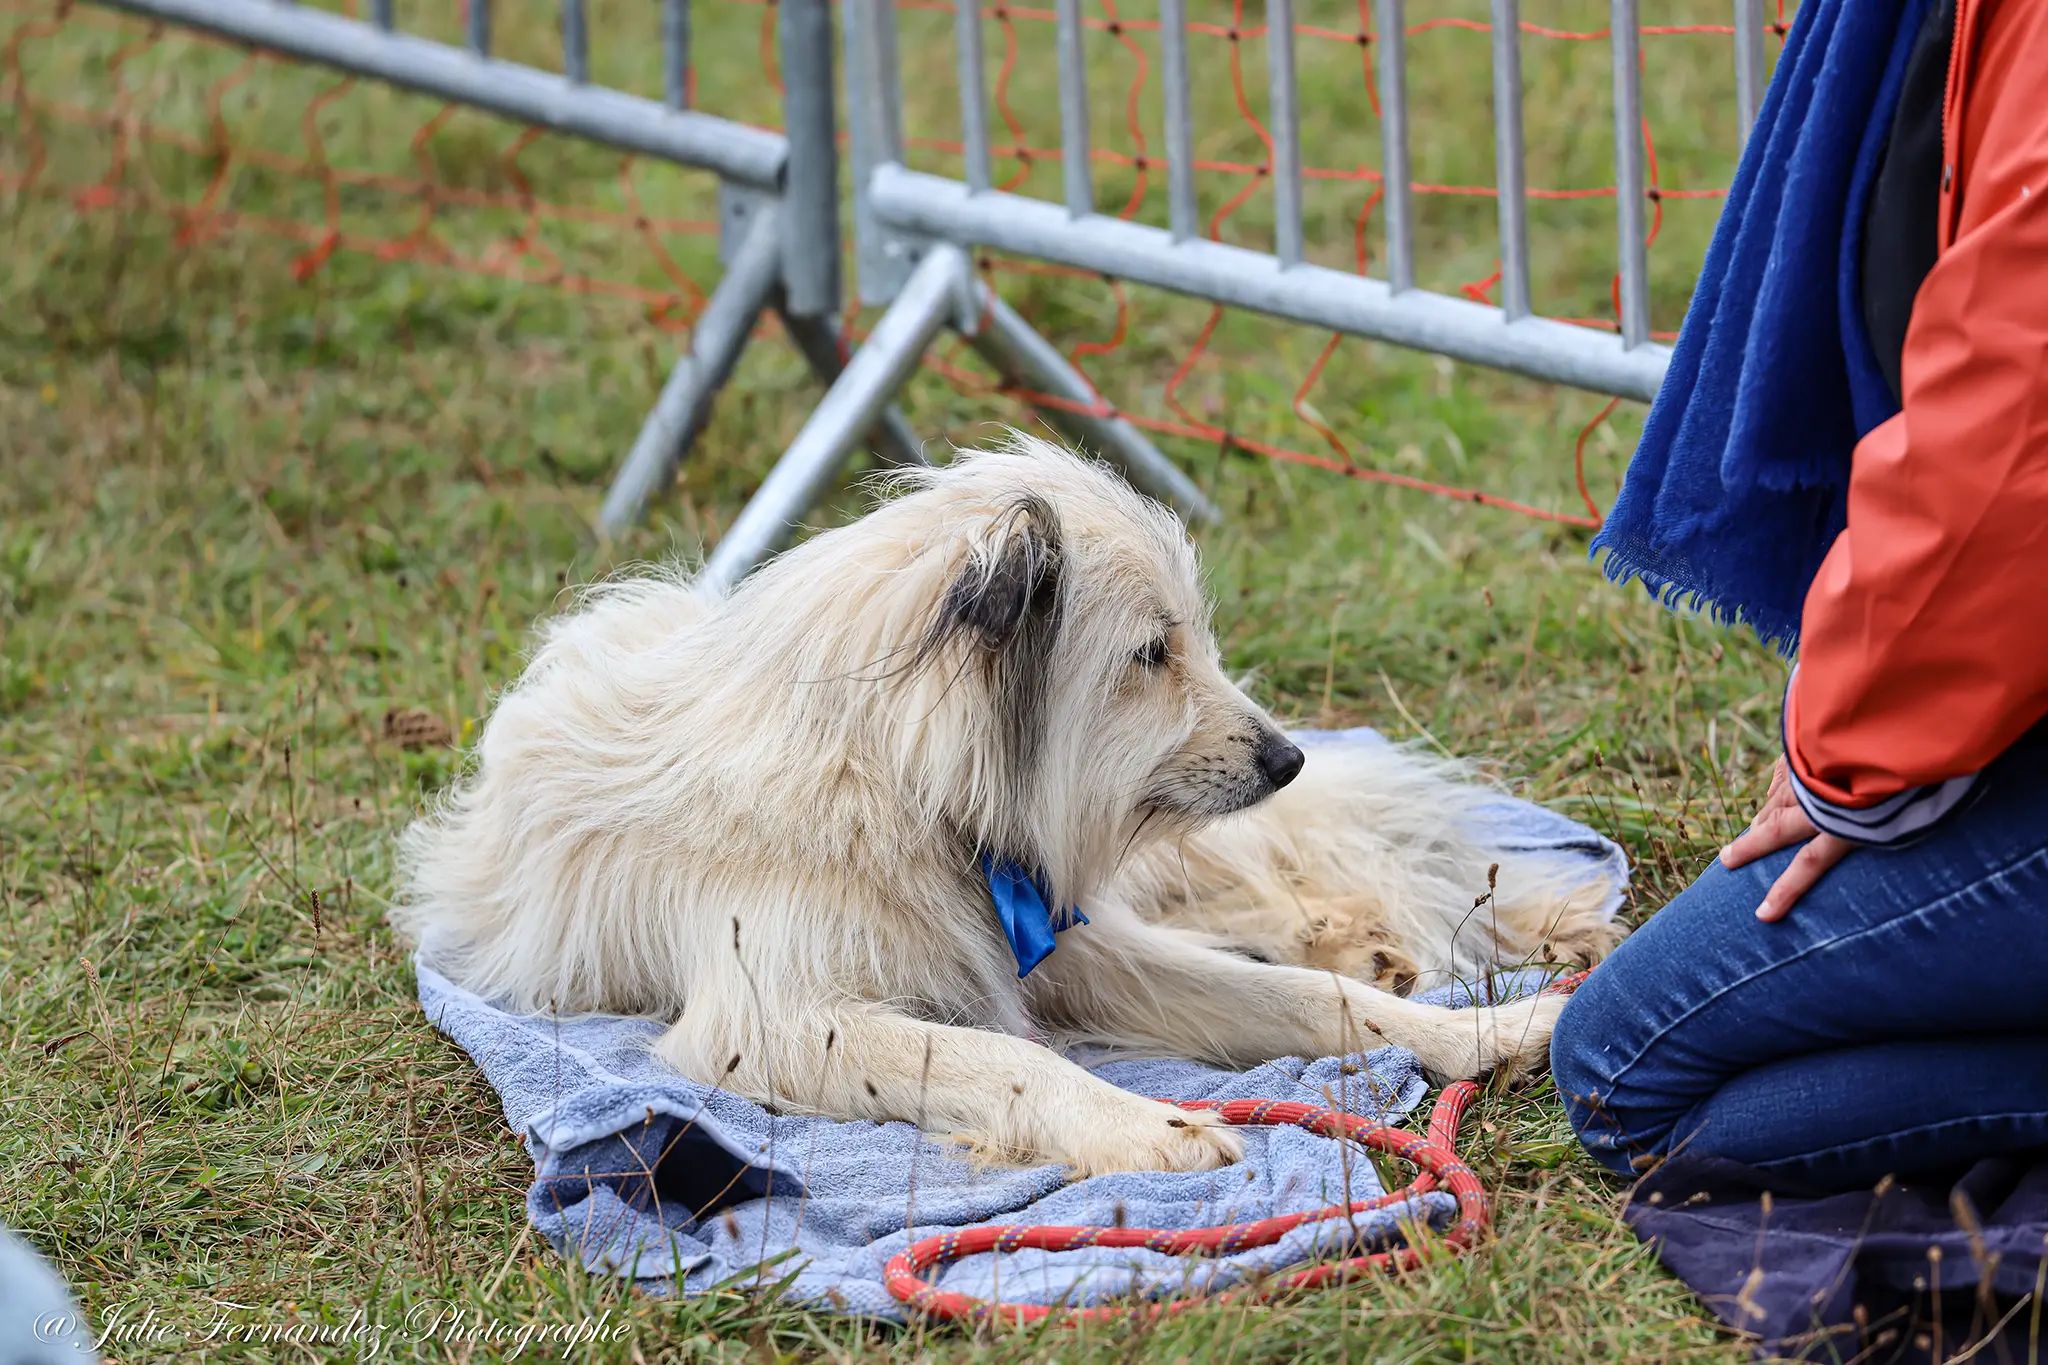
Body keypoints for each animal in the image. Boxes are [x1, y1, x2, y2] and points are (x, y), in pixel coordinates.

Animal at [395, 437, 1613, 1178]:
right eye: (1153, 653)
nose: (1289, 759)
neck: (895, 773)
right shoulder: (768, 1022)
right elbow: (1005, 1060)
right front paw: (1148, 1125)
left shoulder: (1070, 937)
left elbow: (1308, 1004)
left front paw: (1479, 1033)